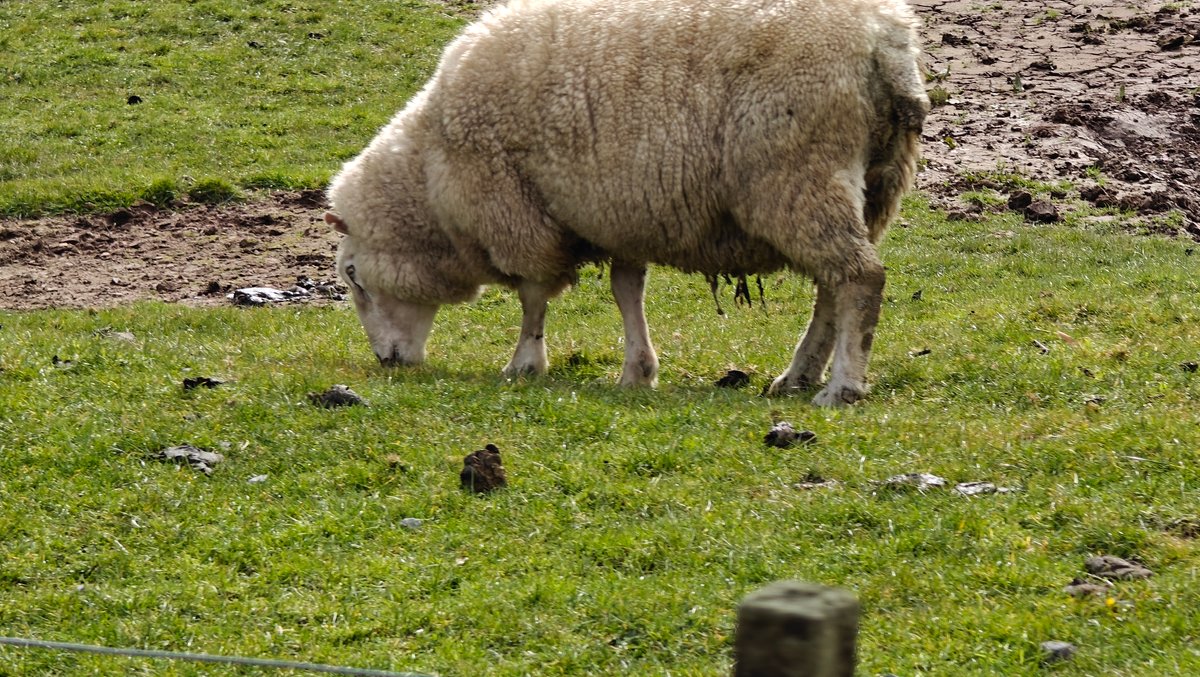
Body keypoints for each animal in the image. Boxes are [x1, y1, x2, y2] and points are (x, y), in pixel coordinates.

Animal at [325, 0, 929, 406]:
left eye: (353, 276)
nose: (386, 362)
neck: (430, 174)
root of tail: (885, 36)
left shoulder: (519, 214)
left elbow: (533, 298)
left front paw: (524, 364)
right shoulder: (618, 212)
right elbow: (625, 290)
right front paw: (637, 370)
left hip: (798, 175)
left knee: (859, 280)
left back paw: (842, 387)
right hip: (870, 185)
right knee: (832, 288)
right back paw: (799, 375)